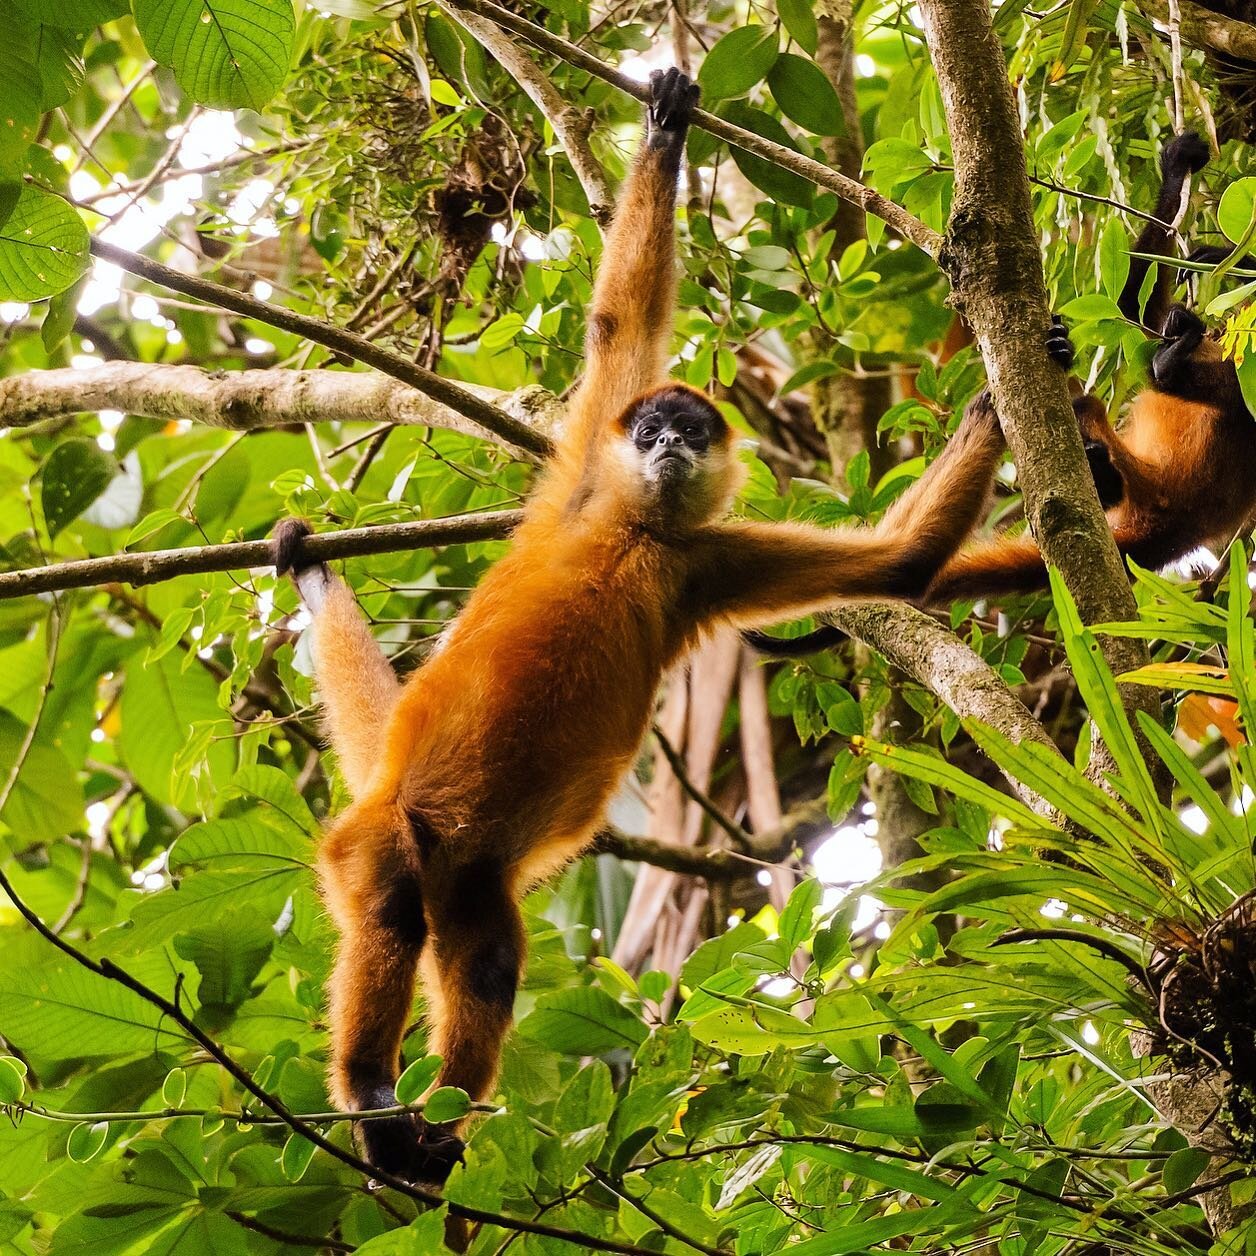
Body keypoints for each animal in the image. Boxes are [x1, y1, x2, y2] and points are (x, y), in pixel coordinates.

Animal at [272, 68, 999, 1185]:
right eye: (652, 426)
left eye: (692, 431)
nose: (664, 446)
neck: (634, 539)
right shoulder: (581, 478)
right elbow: (618, 323)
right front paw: (664, 130)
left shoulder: (697, 565)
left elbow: (898, 564)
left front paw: (999, 403)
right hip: (385, 837)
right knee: (387, 913)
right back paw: (370, 1092)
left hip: (474, 880)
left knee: (487, 961)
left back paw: (439, 1133)